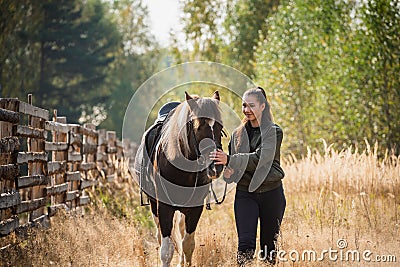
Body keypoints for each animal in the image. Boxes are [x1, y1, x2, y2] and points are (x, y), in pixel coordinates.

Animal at [147, 91, 223, 266]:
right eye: (198, 127)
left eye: (220, 127)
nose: (216, 166)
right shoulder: (164, 208)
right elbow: (166, 250)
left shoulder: (195, 209)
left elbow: (188, 244)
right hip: (154, 205)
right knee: (160, 235)